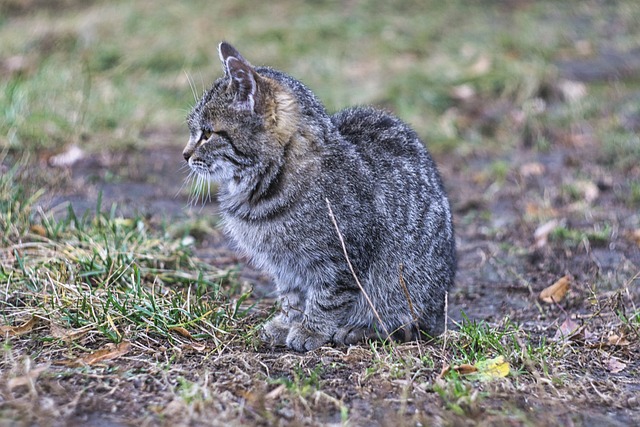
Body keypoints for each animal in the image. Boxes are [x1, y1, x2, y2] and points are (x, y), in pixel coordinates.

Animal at [182, 41, 458, 352]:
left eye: (207, 134)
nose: (185, 154)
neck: (263, 189)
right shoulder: (284, 267)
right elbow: (290, 297)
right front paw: (288, 322)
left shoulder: (341, 259)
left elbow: (327, 297)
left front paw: (310, 329)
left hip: (402, 286)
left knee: (405, 322)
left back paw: (359, 328)